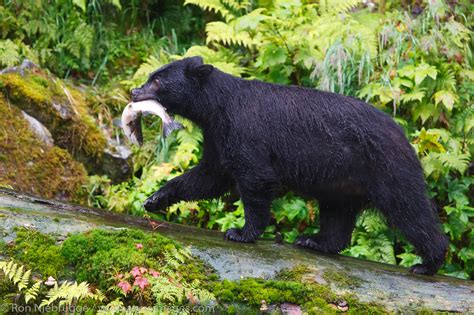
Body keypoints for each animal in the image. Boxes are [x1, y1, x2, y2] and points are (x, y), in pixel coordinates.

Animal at [132, 56, 448, 276]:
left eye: (158, 81)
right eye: (150, 76)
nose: (135, 91)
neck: (216, 108)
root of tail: (405, 136)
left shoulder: (245, 131)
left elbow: (254, 179)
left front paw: (242, 232)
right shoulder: (217, 136)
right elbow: (209, 175)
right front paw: (155, 199)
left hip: (386, 167)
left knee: (409, 209)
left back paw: (428, 262)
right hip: (342, 181)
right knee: (337, 214)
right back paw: (315, 241)